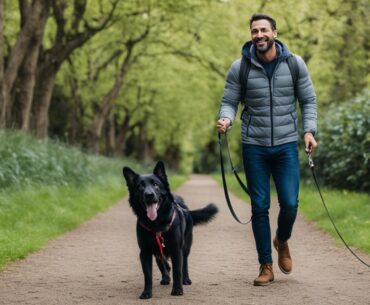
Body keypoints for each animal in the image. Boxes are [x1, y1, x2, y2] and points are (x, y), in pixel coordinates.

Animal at [123, 160, 218, 298]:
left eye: (155, 185)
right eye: (140, 187)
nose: (149, 195)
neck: (156, 223)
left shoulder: (176, 250)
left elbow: (177, 270)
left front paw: (177, 289)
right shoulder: (145, 252)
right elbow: (148, 275)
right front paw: (147, 292)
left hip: (186, 246)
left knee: (184, 263)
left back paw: (185, 279)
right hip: (158, 250)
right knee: (163, 263)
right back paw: (165, 277)